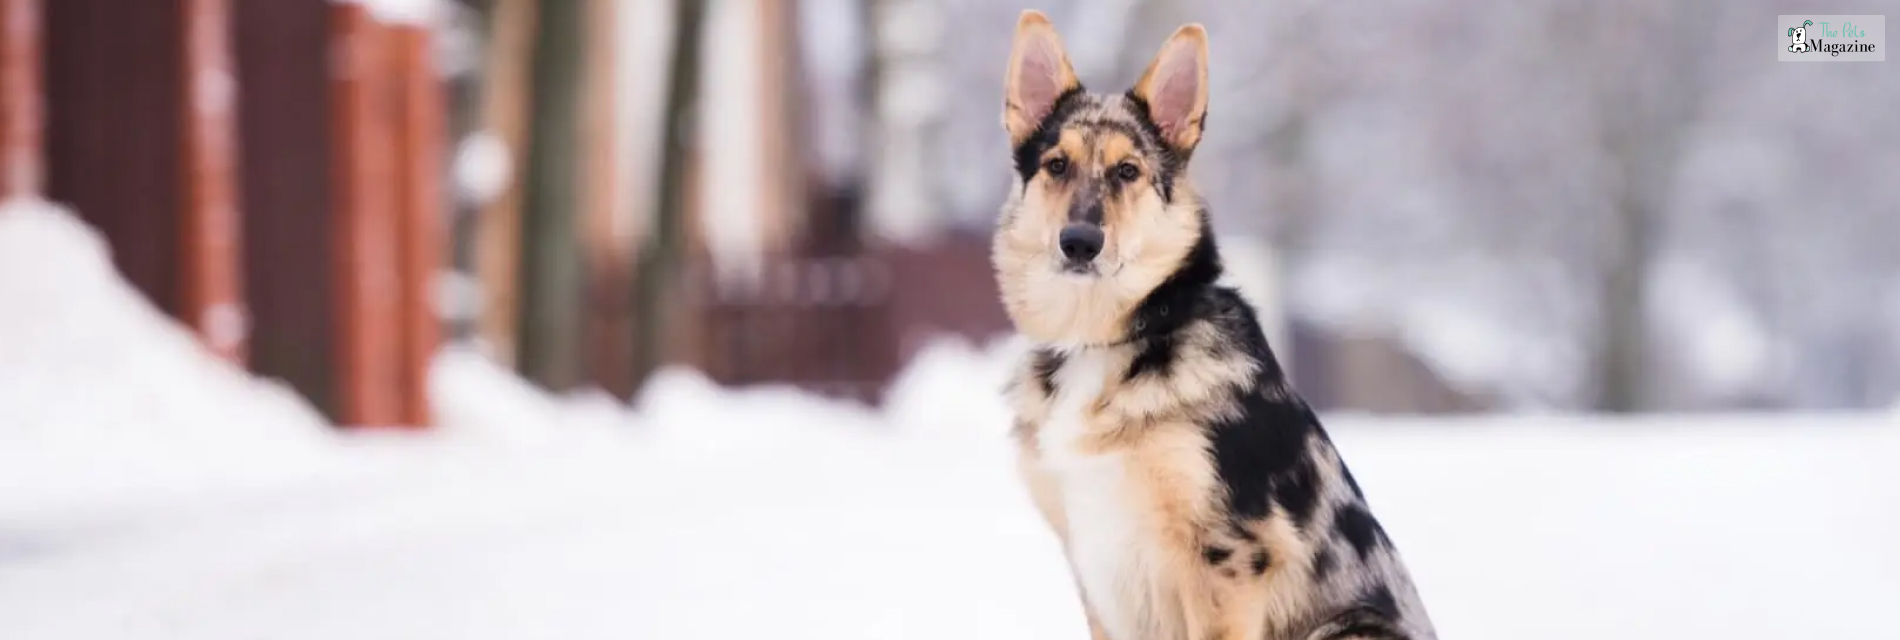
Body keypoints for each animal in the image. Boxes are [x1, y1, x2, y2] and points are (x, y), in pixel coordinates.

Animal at [995, 9, 1436, 638]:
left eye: (1128, 171)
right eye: (1057, 165)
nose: (1079, 242)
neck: (1108, 337)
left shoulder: (1232, 558)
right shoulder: (1094, 572)